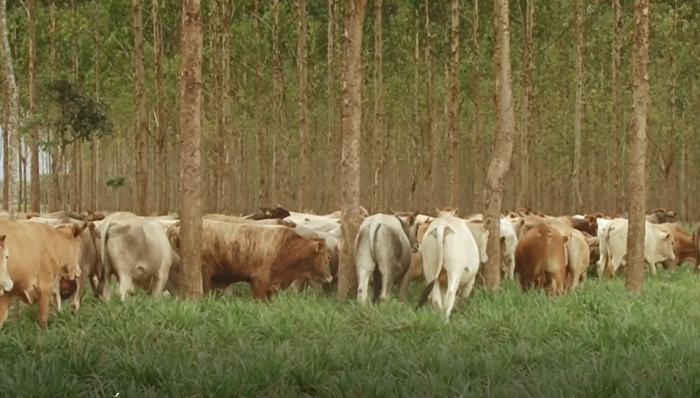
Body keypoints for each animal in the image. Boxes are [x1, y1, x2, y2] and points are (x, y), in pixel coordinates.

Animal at [165, 219, 332, 300]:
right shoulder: (259, 281)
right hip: (204, 274)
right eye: (327, 257)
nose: (330, 277)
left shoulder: (272, 286)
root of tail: (176, 225)